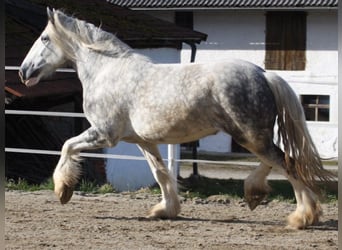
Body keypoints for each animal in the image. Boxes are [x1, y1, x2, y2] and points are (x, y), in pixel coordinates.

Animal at [19, 9, 334, 229]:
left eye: (44, 38)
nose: (24, 71)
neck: (107, 70)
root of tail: (264, 73)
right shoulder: (142, 141)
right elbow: (160, 173)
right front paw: (165, 210)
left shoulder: (103, 134)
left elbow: (67, 146)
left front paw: (63, 190)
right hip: (253, 136)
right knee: (277, 161)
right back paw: (256, 195)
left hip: (250, 136)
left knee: (286, 163)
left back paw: (302, 217)